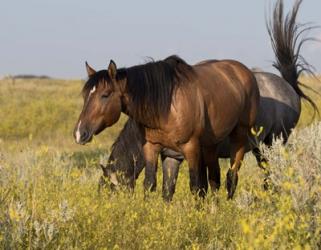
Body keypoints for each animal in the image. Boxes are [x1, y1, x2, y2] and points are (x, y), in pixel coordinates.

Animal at [74, 54, 258, 199]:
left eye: (105, 95)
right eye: (84, 95)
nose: (79, 133)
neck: (166, 107)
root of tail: (245, 72)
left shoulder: (191, 149)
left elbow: (195, 187)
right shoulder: (158, 150)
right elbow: (156, 187)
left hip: (240, 140)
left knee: (231, 178)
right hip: (210, 147)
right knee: (215, 180)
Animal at [99, 0, 318, 201]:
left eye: (110, 189)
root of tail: (288, 87)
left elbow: (202, 187)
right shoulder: (173, 157)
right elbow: (169, 190)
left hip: (273, 143)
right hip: (259, 148)